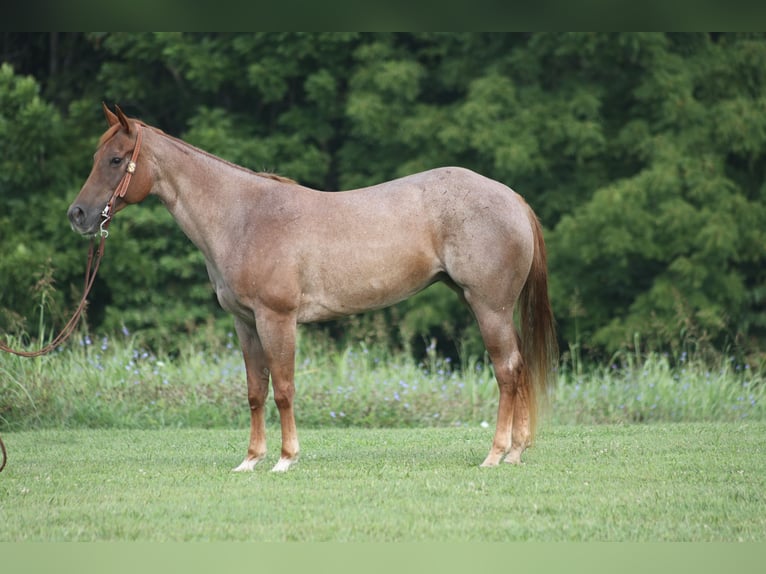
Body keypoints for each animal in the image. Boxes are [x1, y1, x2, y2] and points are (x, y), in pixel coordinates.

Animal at [69, 106, 560, 474]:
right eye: (96, 155)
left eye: (116, 159)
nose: (79, 215)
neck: (244, 217)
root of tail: (512, 198)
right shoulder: (245, 323)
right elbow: (256, 391)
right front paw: (250, 460)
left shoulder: (277, 319)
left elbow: (283, 388)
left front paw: (286, 459)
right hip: (490, 307)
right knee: (518, 367)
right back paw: (516, 452)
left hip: (488, 307)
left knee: (506, 371)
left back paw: (495, 454)